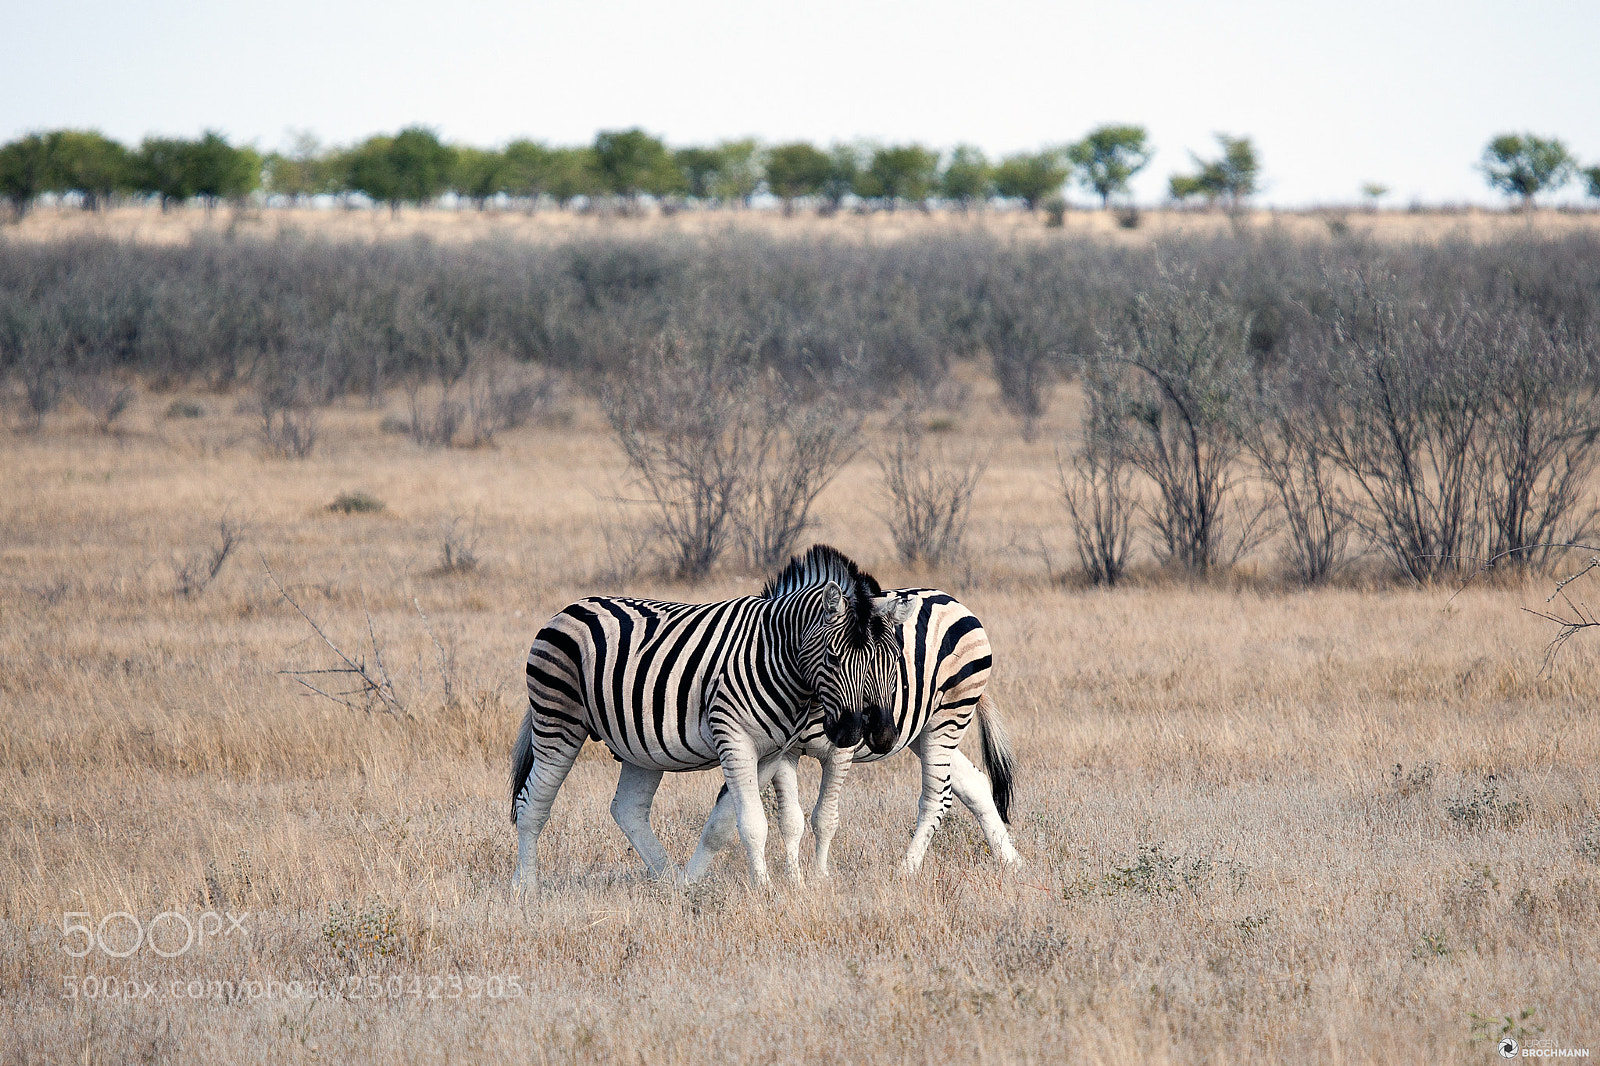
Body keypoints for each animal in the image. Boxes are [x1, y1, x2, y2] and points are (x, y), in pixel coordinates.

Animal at [509, 544, 914, 890]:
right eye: (833, 657)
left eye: (894, 660)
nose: (866, 733)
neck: (777, 655)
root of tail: (571, 607)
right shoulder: (733, 737)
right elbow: (753, 824)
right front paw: (764, 890)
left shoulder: (771, 752)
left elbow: (724, 824)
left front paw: (693, 884)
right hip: (558, 720)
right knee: (532, 804)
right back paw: (524, 888)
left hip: (639, 746)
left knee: (628, 809)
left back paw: (669, 880)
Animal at [681, 587, 1019, 880]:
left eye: (894, 662)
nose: (881, 734)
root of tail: (949, 598)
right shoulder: (780, 749)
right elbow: (763, 816)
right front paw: (688, 880)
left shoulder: (828, 749)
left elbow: (810, 816)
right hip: (922, 731)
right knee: (972, 783)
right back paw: (1011, 861)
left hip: (947, 716)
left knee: (937, 796)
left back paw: (906, 870)